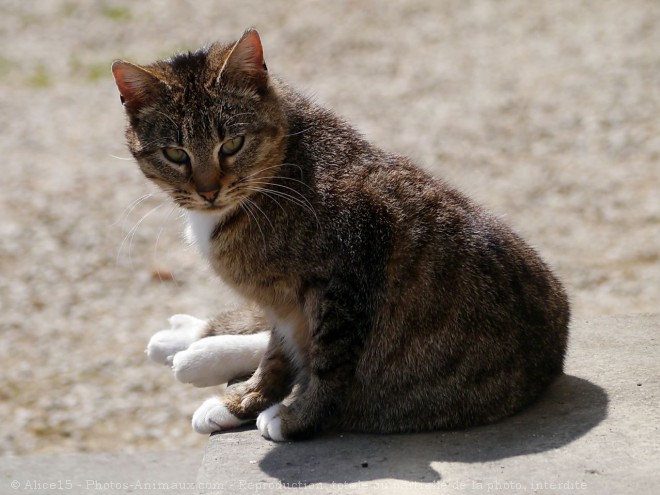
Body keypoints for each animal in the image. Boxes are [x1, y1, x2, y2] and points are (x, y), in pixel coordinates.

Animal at [112, 29, 568, 442]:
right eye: (176, 154)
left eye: (232, 144)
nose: (208, 191)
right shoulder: (285, 302)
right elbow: (277, 353)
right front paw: (243, 401)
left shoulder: (347, 271)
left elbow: (327, 363)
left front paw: (294, 417)